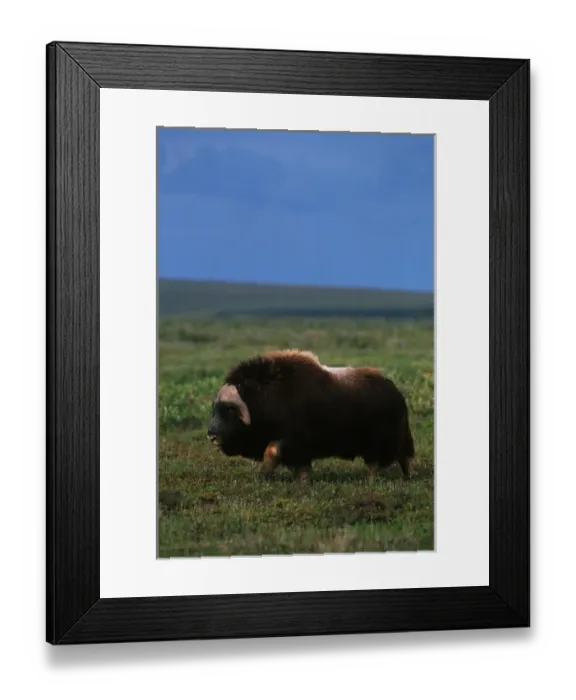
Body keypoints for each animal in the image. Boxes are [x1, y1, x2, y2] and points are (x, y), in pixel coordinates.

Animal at [206, 349, 416, 483]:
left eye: (229, 409)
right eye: (215, 409)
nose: (211, 435)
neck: (265, 397)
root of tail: (396, 392)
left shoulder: (292, 438)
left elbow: (272, 452)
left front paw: (263, 475)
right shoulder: (299, 448)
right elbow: (301, 465)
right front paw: (303, 482)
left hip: (385, 440)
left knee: (388, 459)